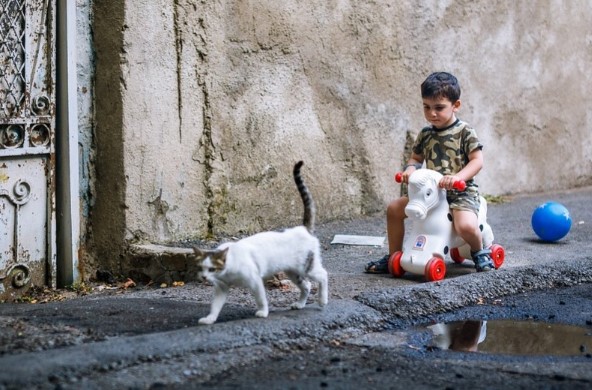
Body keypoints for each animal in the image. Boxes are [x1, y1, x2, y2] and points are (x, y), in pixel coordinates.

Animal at [192, 160, 328, 324]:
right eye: (201, 268)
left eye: (212, 269)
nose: (204, 277)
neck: (228, 270)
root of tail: (302, 228)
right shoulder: (221, 287)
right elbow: (215, 306)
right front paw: (210, 319)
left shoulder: (255, 280)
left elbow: (260, 299)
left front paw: (263, 312)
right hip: (293, 272)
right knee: (306, 285)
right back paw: (300, 304)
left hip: (307, 267)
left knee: (323, 275)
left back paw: (322, 300)